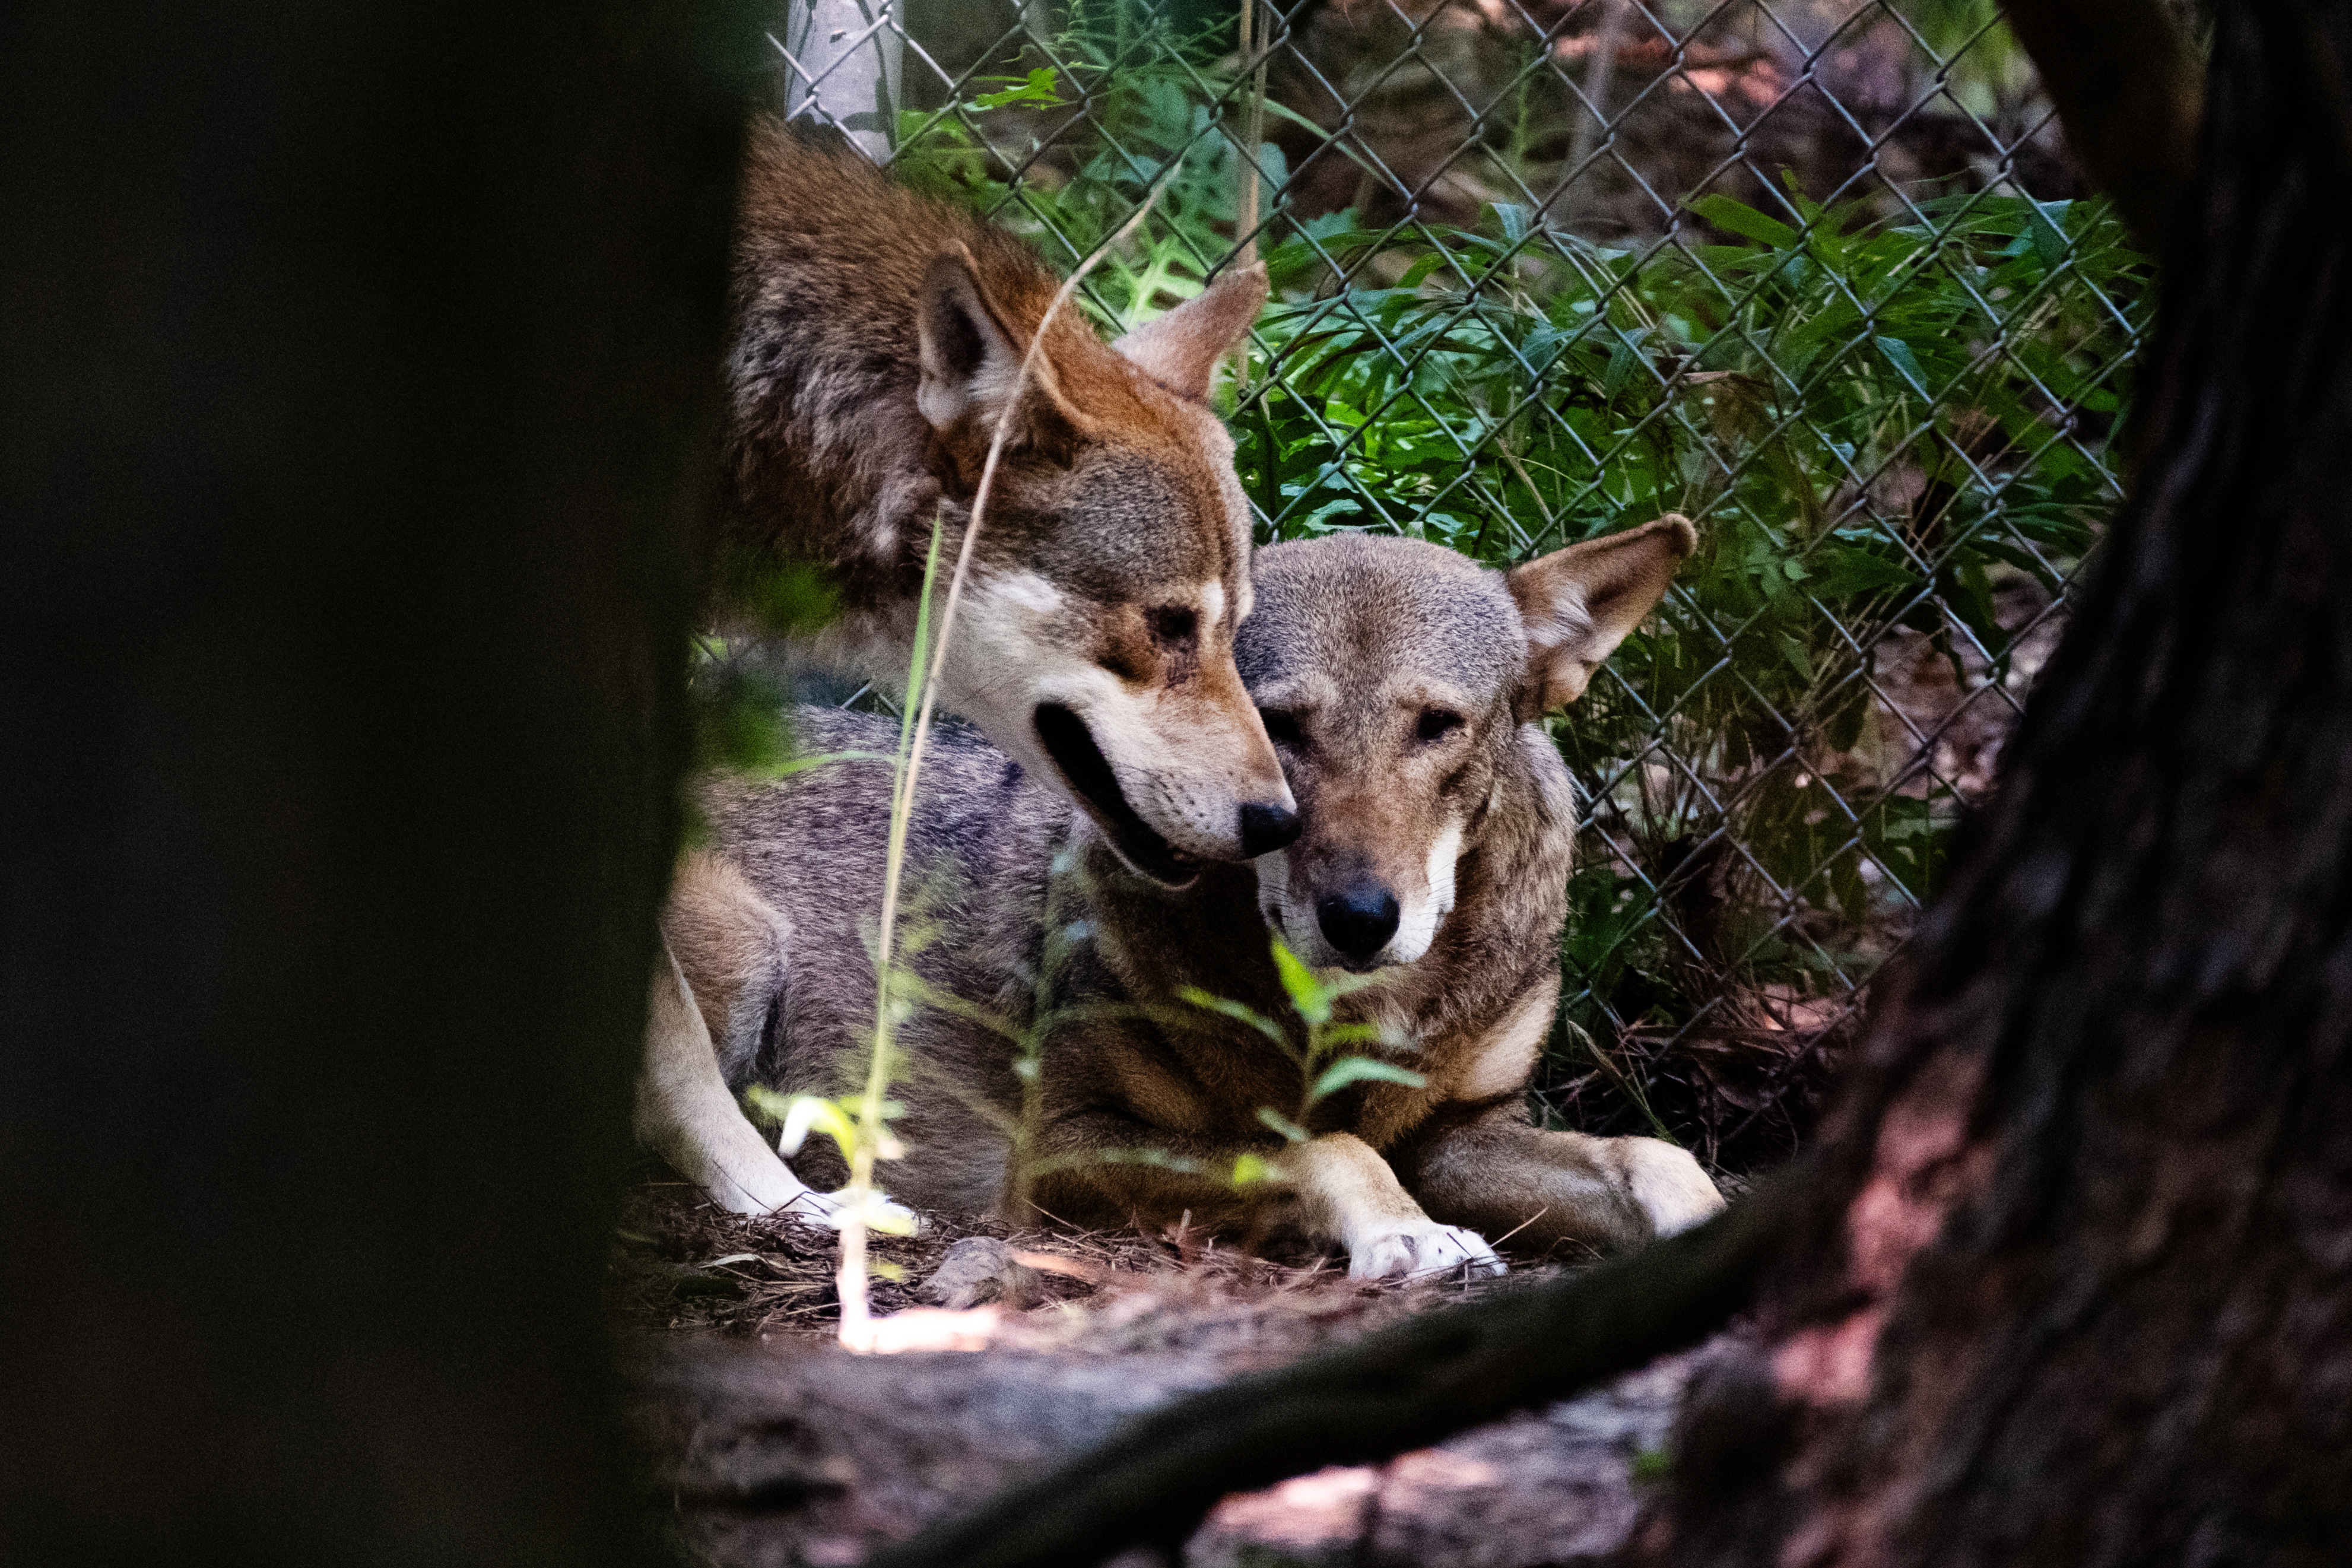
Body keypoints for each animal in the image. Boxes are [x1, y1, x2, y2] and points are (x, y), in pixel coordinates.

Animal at [678, 517, 1725, 1275]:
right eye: (1279, 725)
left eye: (1437, 725)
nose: (1360, 918)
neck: (1357, 1013)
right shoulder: (1056, 1153)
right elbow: (1321, 1148)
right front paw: (1407, 1230)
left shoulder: (1459, 1137)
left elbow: (1655, 1154)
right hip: (744, 951)